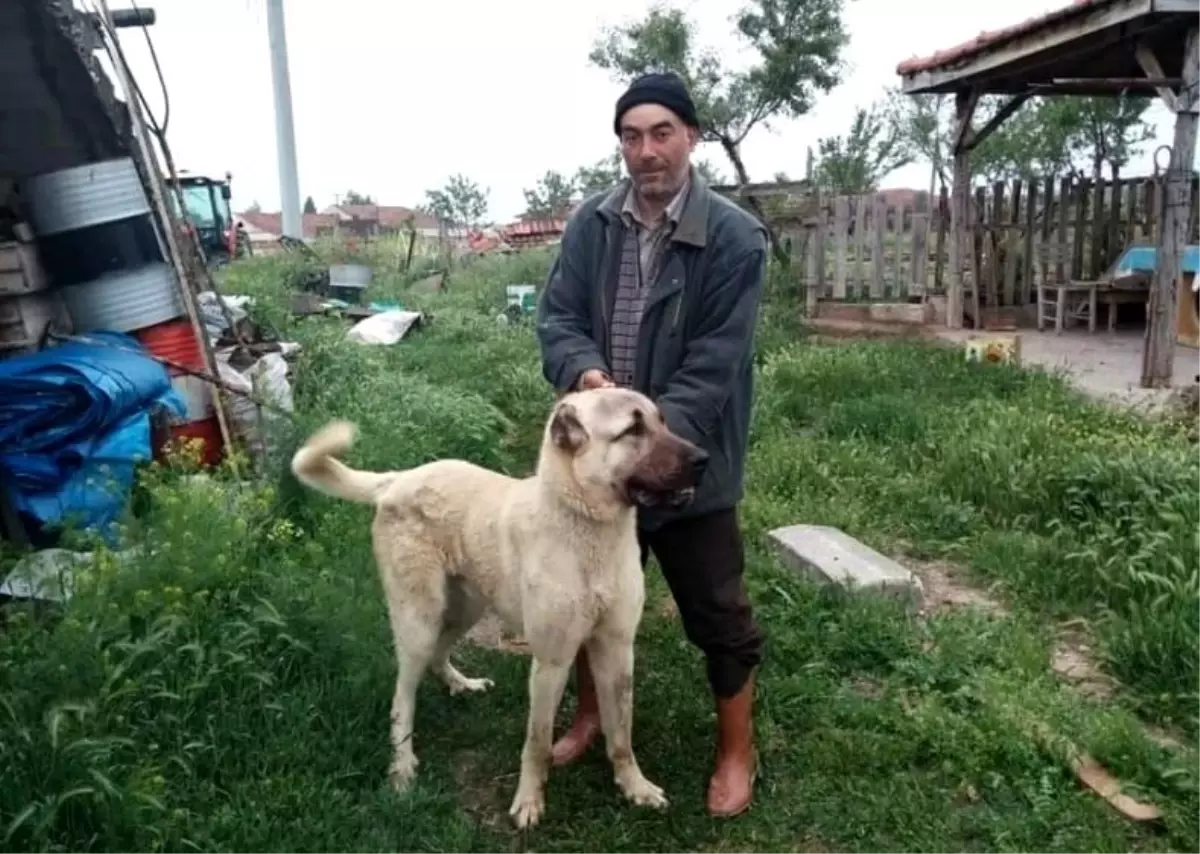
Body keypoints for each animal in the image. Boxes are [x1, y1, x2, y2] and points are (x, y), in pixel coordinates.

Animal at [288, 386, 700, 825]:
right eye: (632, 430)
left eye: (661, 421)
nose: (703, 459)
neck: (587, 527)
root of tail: (399, 477)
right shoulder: (551, 663)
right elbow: (537, 741)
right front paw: (529, 801)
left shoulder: (617, 649)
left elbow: (621, 731)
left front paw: (634, 786)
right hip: (419, 621)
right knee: (402, 697)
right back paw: (401, 767)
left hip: (464, 609)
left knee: (439, 656)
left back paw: (461, 685)